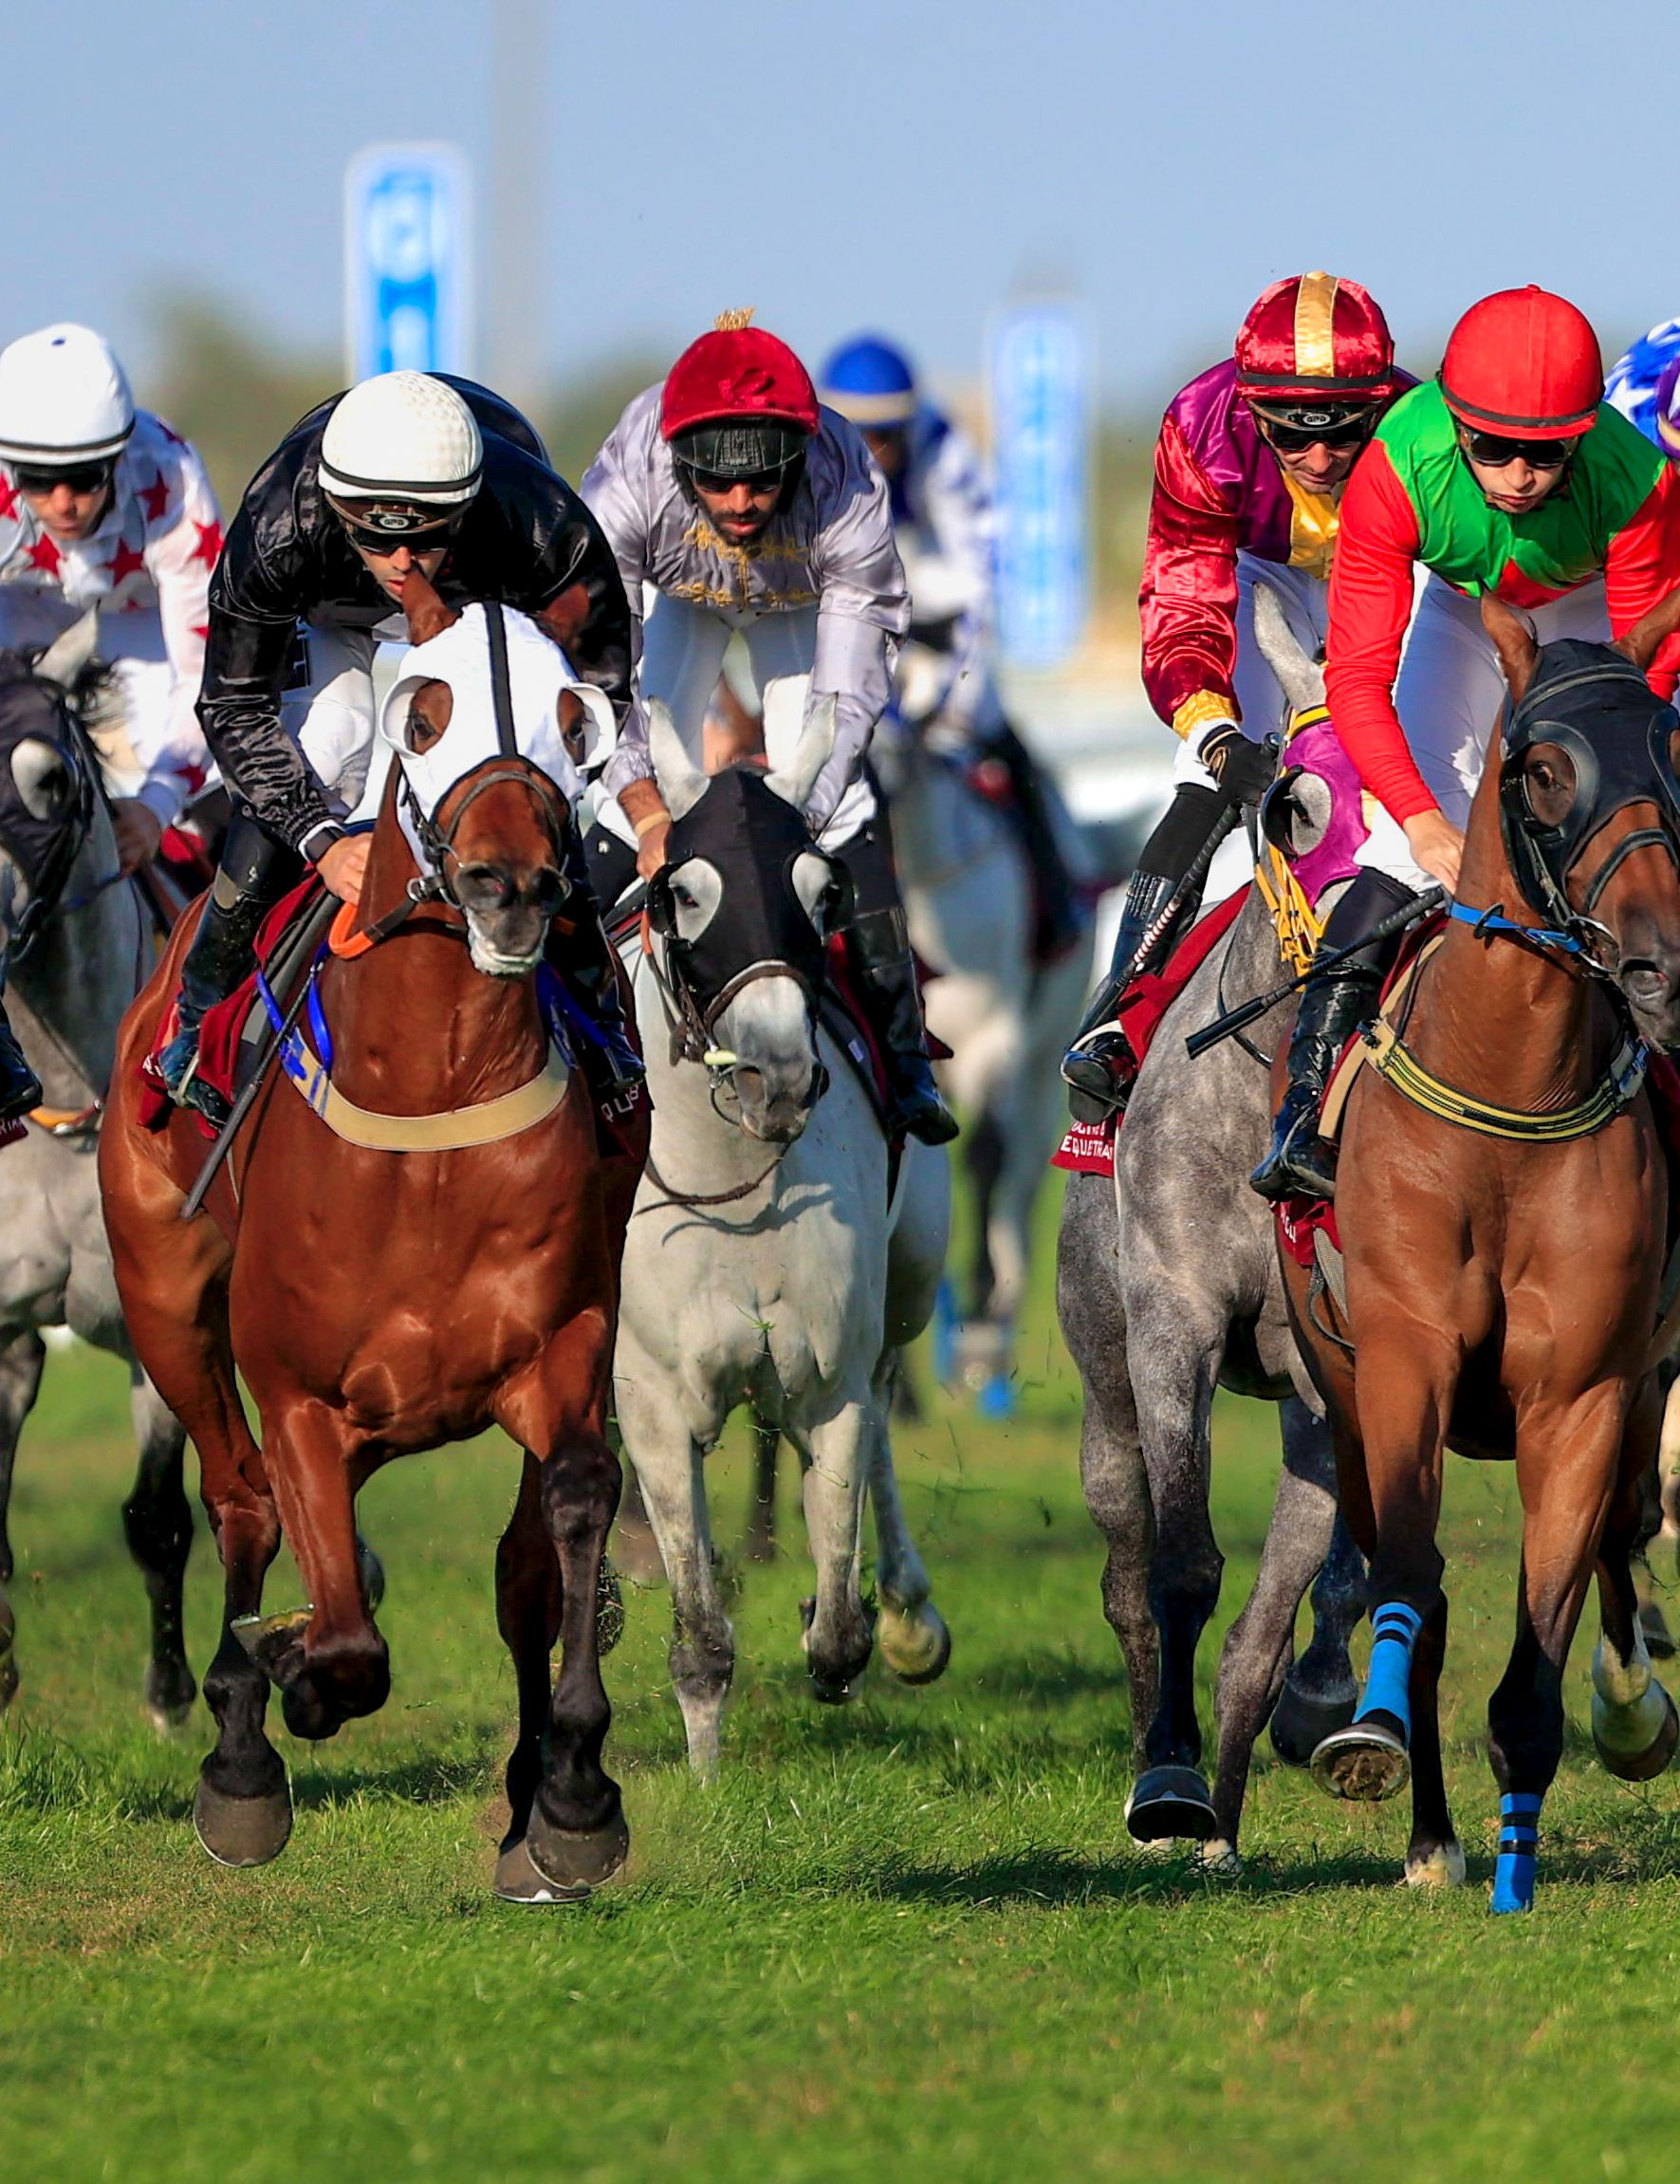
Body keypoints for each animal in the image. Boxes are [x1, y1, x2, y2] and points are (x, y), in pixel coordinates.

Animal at [99, 578, 643, 1899]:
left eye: (575, 715)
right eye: (423, 714)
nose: (509, 886)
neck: (429, 1106)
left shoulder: (564, 1343)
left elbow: (568, 1521)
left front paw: (572, 1795)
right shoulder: (298, 1390)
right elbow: (343, 1637)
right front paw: (282, 1680)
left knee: (515, 1569)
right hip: (166, 1308)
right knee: (239, 1500)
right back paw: (242, 1752)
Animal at [611, 700, 952, 1775]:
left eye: (822, 889)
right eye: (683, 891)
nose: (779, 1077)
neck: (736, 1188)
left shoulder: (827, 1374)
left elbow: (837, 1618)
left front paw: (853, 1629)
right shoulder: (652, 1397)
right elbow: (697, 1623)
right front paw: (705, 1777)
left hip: (910, 1281)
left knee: (885, 1404)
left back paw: (910, 1615)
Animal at [1287, 591, 1680, 1912]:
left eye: (1673, 753)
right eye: (1543, 771)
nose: (1657, 964)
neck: (1510, 1095)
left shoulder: (1585, 1391)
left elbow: (1543, 1638)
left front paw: (1519, 1865)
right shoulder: (1404, 1359)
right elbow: (1414, 1586)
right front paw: (1383, 1757)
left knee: (1620, 1536)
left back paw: (1629, 1707)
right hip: (1344, 1390)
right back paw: (1424, 1827)